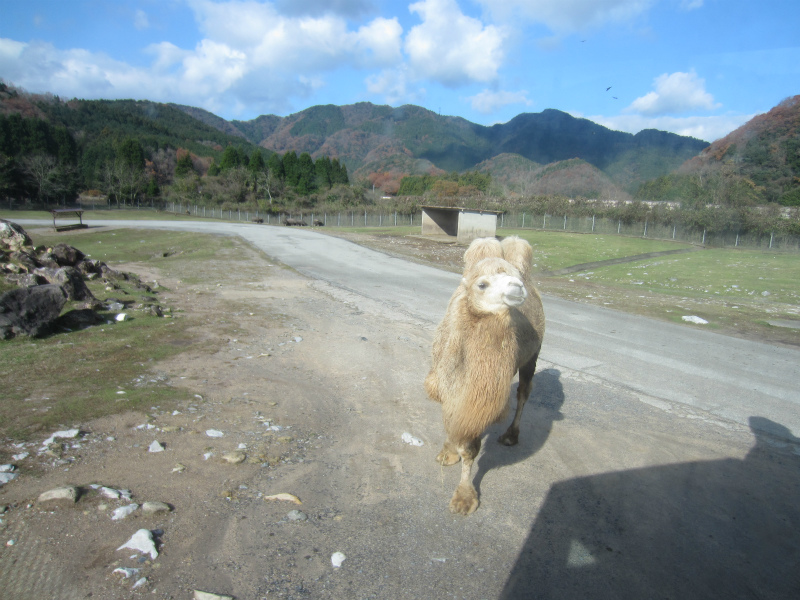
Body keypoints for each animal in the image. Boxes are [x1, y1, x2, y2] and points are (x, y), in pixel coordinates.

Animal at [422, 237, 548, 512]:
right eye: (482, 284)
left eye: (515, 278)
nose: (518, 288)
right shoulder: (449, 386)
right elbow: (452, 421)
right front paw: (448, 452)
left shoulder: (480, 398)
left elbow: (470, 447)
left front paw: (464, 498)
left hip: (532, 356)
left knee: (523, 393)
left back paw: (511, 436)